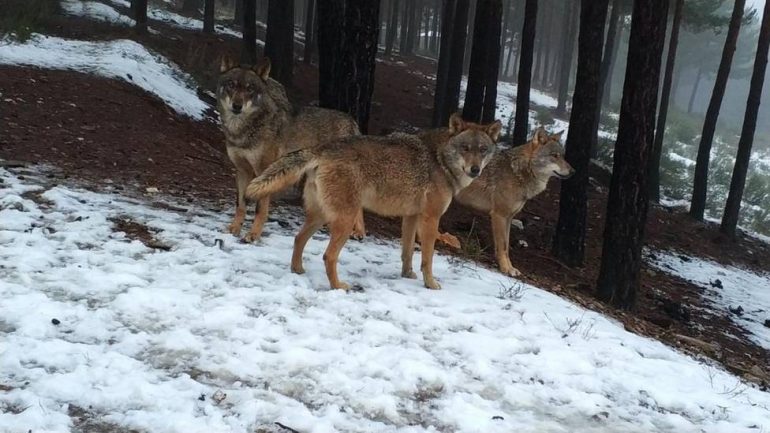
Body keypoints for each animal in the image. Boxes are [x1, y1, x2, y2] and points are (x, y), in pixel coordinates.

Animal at [213, 55, 364, 241]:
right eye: (231, 85)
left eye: (250, 89)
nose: (237, 106)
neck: (243, 130)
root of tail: (351, 121)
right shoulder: (242, 171)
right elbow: (240, 205)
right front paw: (234, 228)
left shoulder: (263, 173)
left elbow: (259, 210)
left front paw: (253, 235)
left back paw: (357, 232)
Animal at [243, 113, 500, 290]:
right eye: (465, 148)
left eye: (483, 150)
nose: (475, 170)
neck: (441, 160)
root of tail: (323, 148)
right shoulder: (430, 219)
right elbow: (427, 258)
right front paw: (430, 283)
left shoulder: (411, 217)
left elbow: (407, 252)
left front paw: (407, 275)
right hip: (345, 221)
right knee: (328, 256)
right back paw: (338, 287)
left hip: (321, 216)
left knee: (298, 239)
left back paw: (298, 270)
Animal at [452, 127, 572, 276]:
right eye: (554, 155)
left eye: (562, 156)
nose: (573, 171)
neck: (519, 172)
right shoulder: (499, 215)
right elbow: (503, 246)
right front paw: (505, 269)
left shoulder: (509, 218)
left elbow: (507, 247)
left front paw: (510, 268)